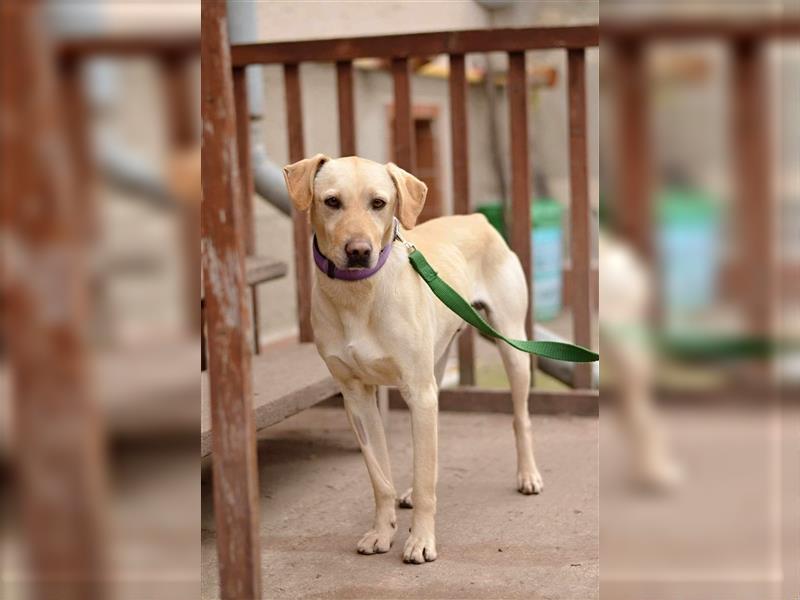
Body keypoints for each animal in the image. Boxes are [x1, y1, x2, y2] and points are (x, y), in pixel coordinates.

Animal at [284, 154, 540, 564]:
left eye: (379, 203)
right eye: (331, 202)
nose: (359, 251)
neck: (359, 295)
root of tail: (476, 218)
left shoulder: (418, 393)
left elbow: (424, 481)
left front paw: (421, 541)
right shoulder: (358, 398)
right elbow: (380, 476)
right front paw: (381, 530)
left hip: (513, 348)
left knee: (520, 419)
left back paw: (528, 476)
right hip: (436, 364)